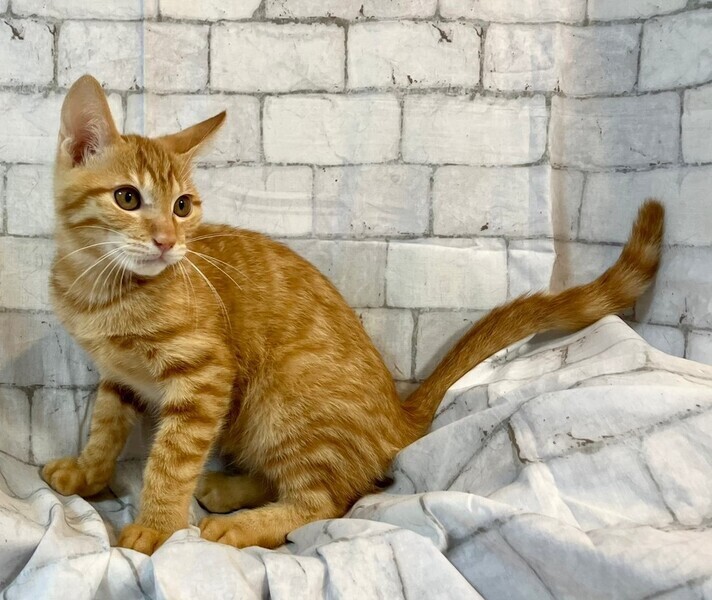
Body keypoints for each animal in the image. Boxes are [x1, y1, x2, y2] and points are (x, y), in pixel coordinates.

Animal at [41, 75, 665, 555]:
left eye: (182, 205)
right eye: (127, 198)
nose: (169, 242)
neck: (102, 290)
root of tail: (396, 412)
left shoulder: (204, 379)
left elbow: (171, 460)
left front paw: (158, 525)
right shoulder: (118, 376)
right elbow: (106, 425)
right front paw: (88, 472)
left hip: (286, 404)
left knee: (327, 499)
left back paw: (242, 523)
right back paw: (234, 490)